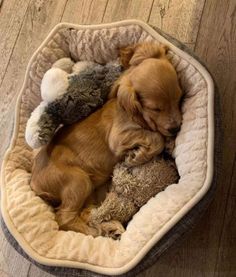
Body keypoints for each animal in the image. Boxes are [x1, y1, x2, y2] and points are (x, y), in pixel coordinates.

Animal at [30, 42, 183, 236]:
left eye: (179, 98)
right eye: (155, 109)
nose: (176, 128)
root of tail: (34, 182)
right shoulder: (118, 137)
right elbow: (156, 137)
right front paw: (137, 156)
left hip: (87, 190)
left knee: (87, 213)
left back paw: (108, 227)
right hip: (78, 181)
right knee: (64, 218)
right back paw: (94, 232)